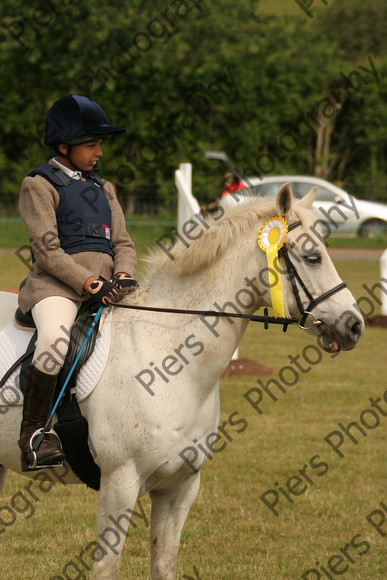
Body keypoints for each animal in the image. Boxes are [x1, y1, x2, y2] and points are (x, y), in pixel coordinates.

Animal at [0, 187, 364, 580]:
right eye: (313, 257)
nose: (355, 325)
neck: (172, 361)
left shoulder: (180, 486)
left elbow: (164, 562)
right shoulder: (119, 484)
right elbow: (107, 567)